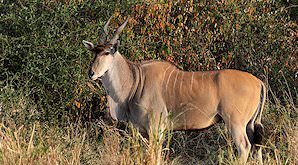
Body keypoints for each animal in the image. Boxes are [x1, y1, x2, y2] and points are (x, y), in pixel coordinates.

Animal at [82, 16, 266, 164]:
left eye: (107, 52)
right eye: (94, 52)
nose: (91, 73)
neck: (135, 80)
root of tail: (258, 82)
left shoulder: (156, 128)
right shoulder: (141, 130)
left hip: (235, 123)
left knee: (244, 146)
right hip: (249, 124)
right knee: (256, 148)